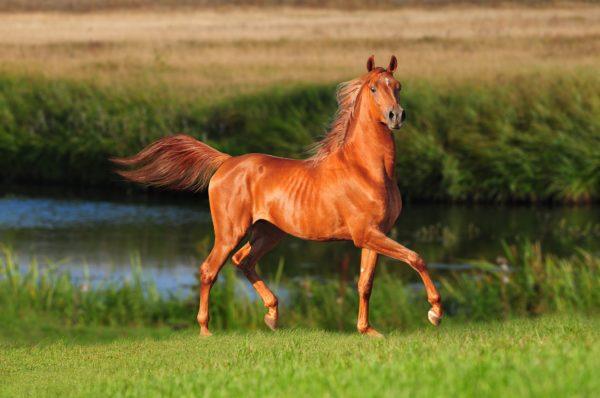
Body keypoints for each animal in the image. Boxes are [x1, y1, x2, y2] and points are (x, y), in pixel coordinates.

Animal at [112, 55, 442, 336]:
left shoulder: (373, 234)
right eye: (374, 88)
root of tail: (226, 162)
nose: (396, 115)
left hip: (269, 232)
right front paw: (435, 312)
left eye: (398, 86)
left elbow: (365, 283)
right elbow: (416, 258)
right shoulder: (366, 234)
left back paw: (272, 315)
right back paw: (206, 329)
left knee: (243, 261)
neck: (367, 169)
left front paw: (368, 330)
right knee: (209, 270)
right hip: (231, 231)